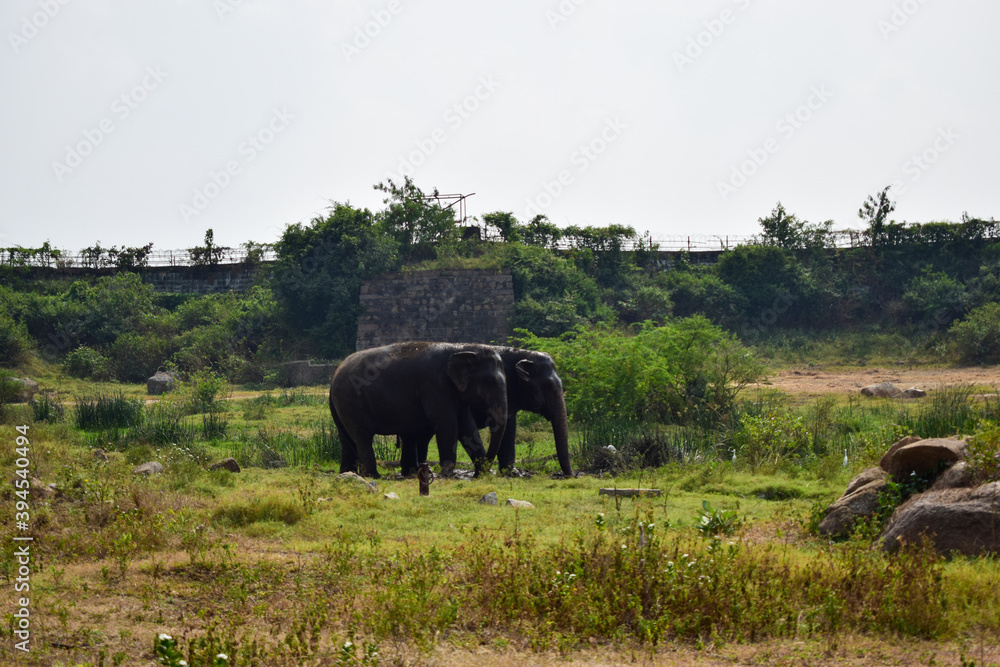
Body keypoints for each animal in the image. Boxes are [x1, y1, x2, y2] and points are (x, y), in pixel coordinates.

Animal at [330, 344, 508, 480]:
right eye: (489, 382)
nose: (478, 474)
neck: (463, 348)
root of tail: (333, 379)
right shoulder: (434, 385)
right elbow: (448, 423)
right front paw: (447, 474)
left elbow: (467, 426)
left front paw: (482, 474)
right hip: (351, 401)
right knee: (363, 437)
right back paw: (373, 476)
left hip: (343, 406)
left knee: (346, 439)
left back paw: (348, 473)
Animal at [398, 348, 572, 478]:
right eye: (548, 386)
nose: (568, 476)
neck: (521, 353)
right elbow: (508, 427)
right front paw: (511, 473)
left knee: (419, 436)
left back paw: (412, 471)